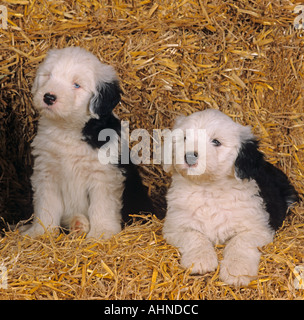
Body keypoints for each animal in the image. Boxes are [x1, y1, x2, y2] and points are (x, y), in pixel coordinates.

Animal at [22, 47, 153, 238]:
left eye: (77, 85)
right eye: (48, 75)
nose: (49, 97)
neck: (67, 129)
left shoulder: (103, 177)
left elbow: (101, 207)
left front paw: (101, 233)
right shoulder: (47, 173)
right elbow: (46, 206)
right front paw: (41, 232)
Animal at [163, 109, 298, 286]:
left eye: (216, 142)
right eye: (184, 138)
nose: (190, 156)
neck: (208, 190)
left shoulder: (257, 227)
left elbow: (240, 241)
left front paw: (237, 270)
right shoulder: (175, 226)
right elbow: (194, 235)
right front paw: (201, 260)